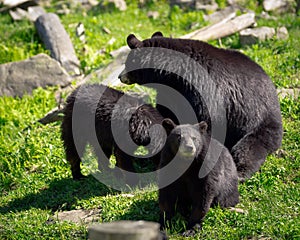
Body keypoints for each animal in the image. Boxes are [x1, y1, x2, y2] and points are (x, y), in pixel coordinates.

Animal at [118, 31, 282, 180]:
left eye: (127, 63)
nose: (120, 76)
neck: (174, 74)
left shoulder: (203, 91)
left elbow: (205, 121)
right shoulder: (172, 93)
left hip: (259, 123)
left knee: (248, 148)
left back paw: (240, 171)